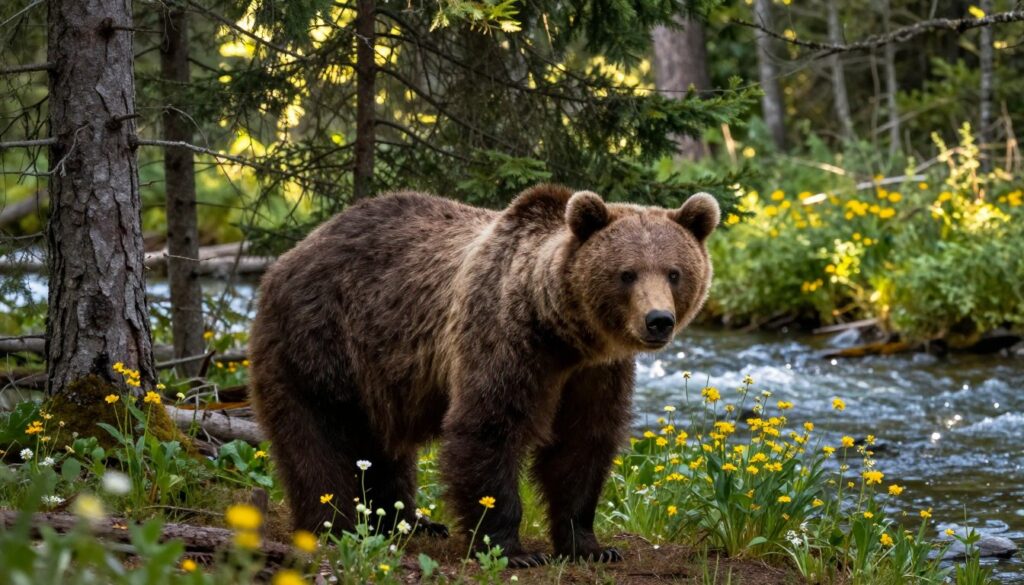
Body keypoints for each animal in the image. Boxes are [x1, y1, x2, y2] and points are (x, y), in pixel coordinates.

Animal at [248, 184, 719, 567]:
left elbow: (583, 444)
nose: (658, 320)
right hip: (318, 341)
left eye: (674, 272)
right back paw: (334, 524)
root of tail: (289, 255)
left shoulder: (595, 374)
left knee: (383, 447)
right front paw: (512, 549)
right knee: (316, 436)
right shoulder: (504, 339)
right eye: (627, 273)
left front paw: (590, 545)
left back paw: (408, 520)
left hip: (380, 371)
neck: (562, 335)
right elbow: (489, 427)